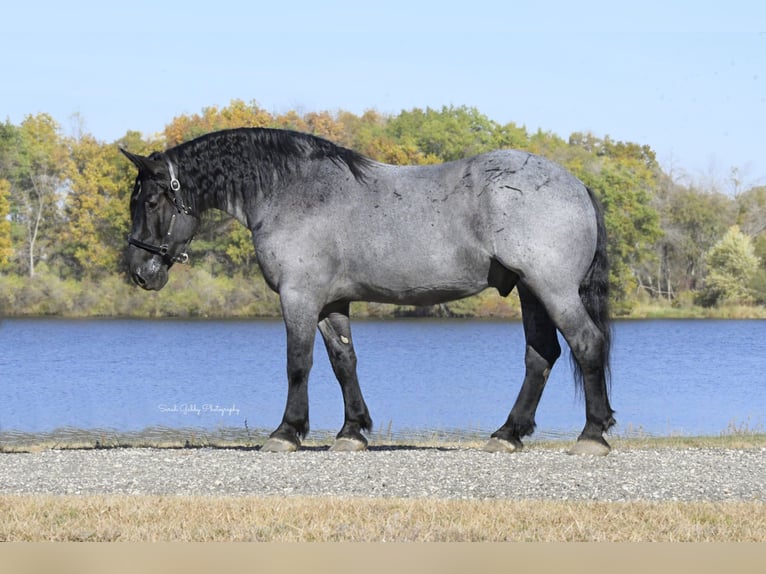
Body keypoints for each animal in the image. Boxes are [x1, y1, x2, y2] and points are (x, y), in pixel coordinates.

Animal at [121, 128, 616, 456]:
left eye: (150, 201)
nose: (139, 272)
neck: (293, 191)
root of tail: (576, 184)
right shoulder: (331, 302)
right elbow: (344, 361)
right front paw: (351, 432)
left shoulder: (298, 297)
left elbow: (298, 363)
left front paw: (286, 432)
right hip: (530, 291)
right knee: (541, 356)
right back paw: (508, 435)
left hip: (552, 290)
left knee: (586, 344)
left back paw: (592, 436)